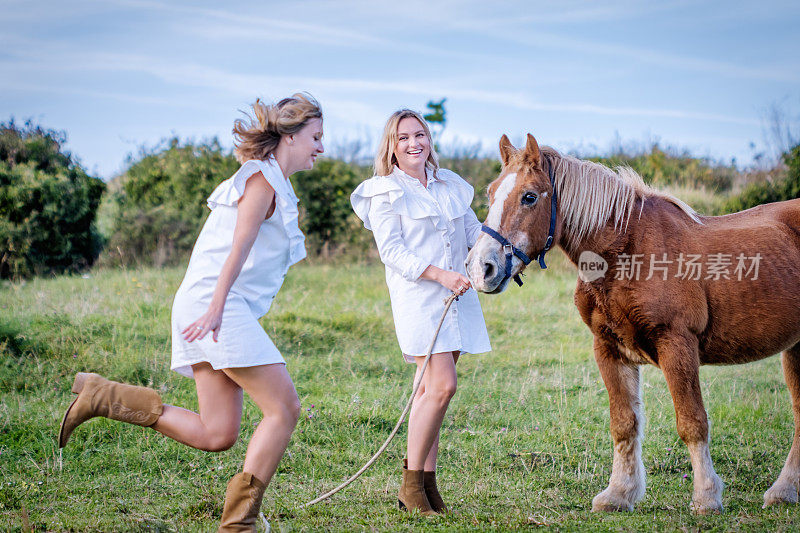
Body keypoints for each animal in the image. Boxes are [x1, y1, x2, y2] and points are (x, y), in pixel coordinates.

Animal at [462, 132, 800, 512]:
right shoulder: (609, 349)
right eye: (490, 193)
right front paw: (618, 494)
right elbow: (624, 424)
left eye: (530, 196)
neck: (627, 253)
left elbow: (692, 423)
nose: (481, 268)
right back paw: (784, 491)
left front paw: (706, 497)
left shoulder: (677, 347)